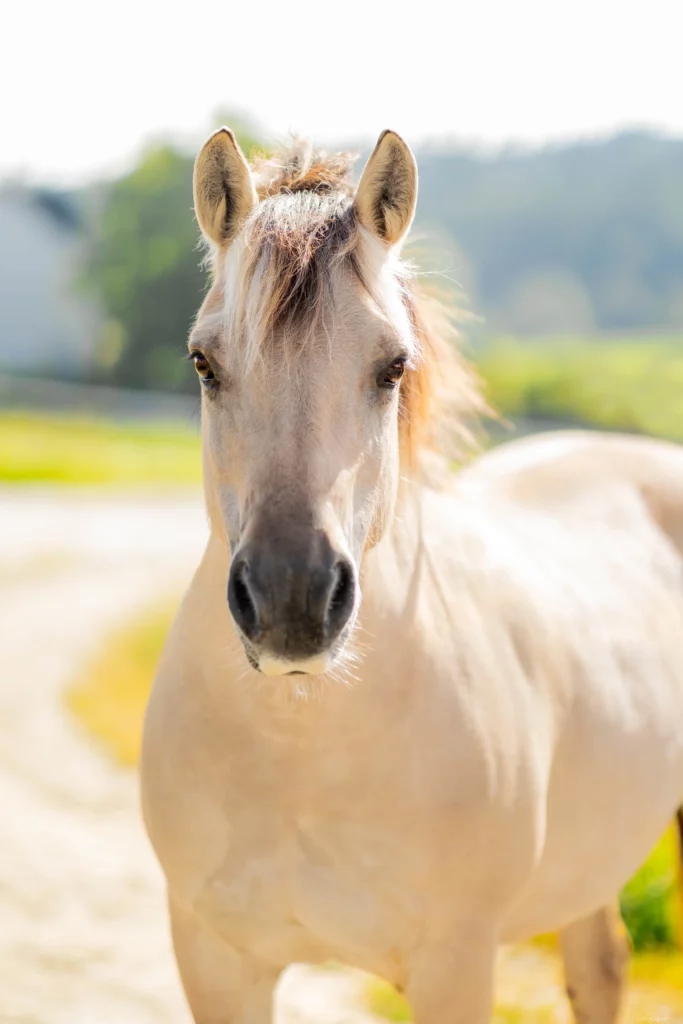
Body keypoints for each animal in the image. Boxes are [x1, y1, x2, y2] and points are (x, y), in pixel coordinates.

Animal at [141, 128, 683, 1024]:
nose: (292, 601)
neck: (301, 751)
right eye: (203, 363)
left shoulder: (454, 965)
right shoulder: (213, 960)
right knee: (598, 963)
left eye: (392, 367)